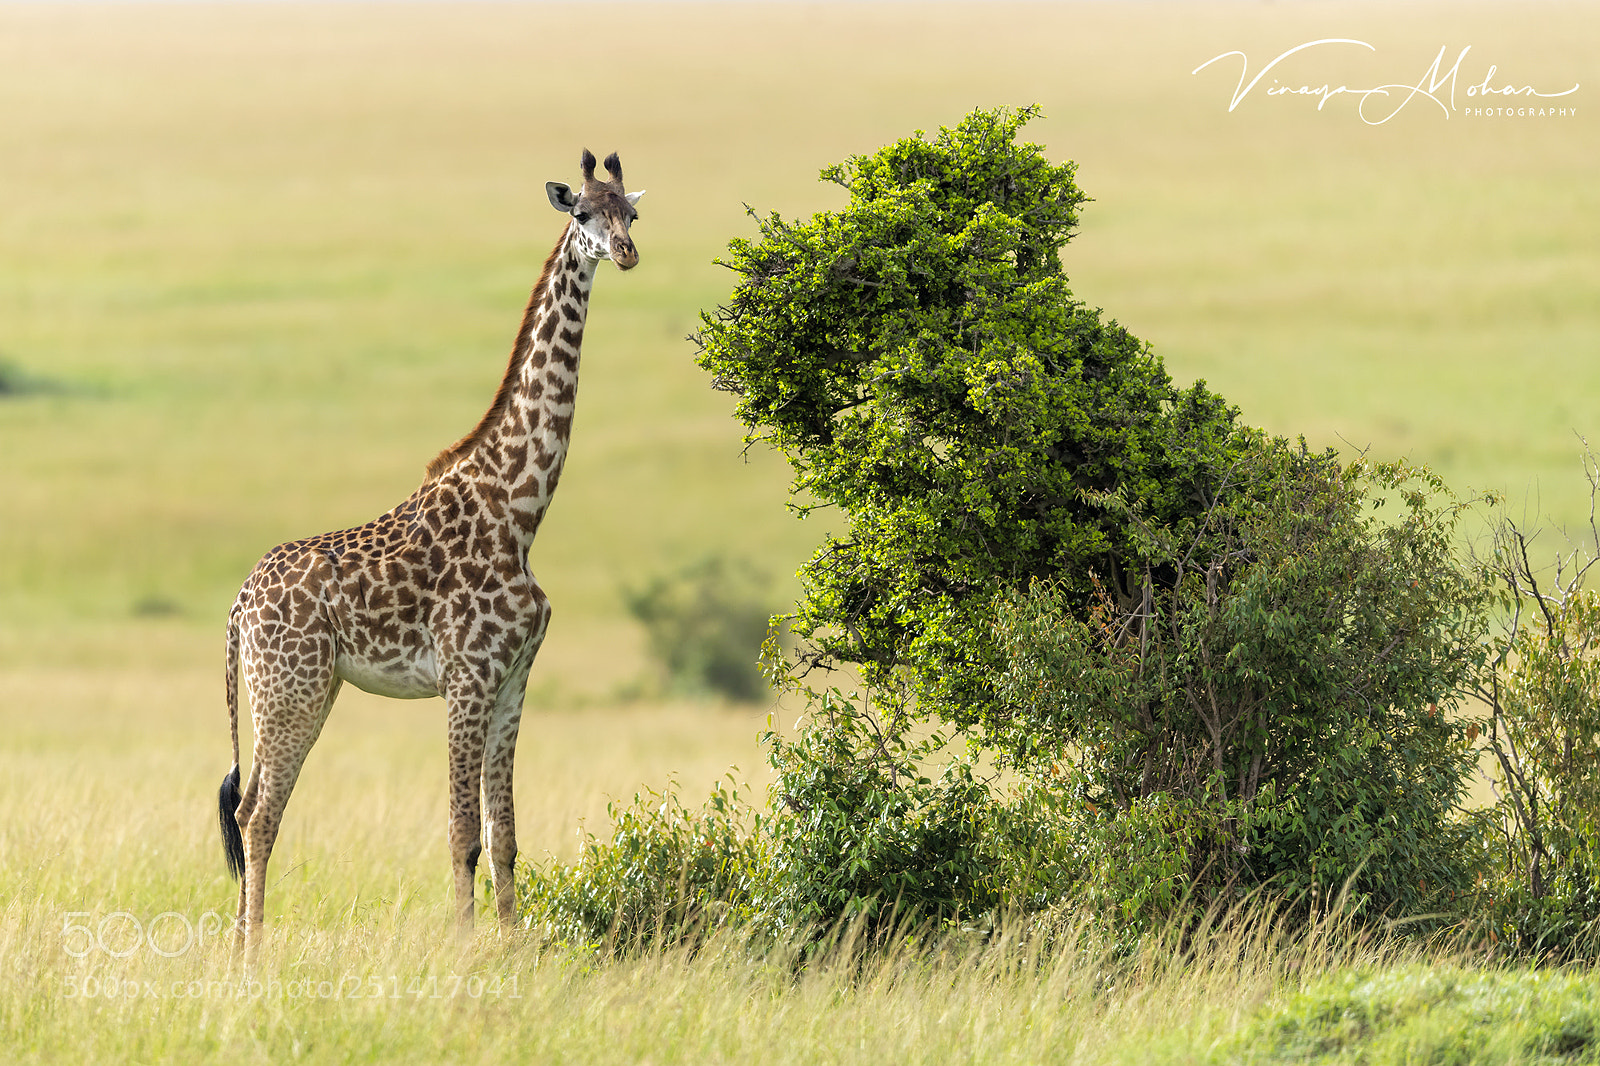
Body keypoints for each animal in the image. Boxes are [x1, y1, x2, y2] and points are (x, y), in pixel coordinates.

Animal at [217, 149, 642, 953]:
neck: (521, 510)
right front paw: (468, 952)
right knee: (258, 817)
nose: (627, 252)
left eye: (630, 212)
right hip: (289, 691)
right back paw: (254, 960)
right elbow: (462, 833)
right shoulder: (467, 679)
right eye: (582, 214)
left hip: (295, 691)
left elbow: (506, 835)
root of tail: (237, 605)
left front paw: (508, 949)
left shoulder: (513, 681)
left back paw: (237, 953)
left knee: (246, 806)